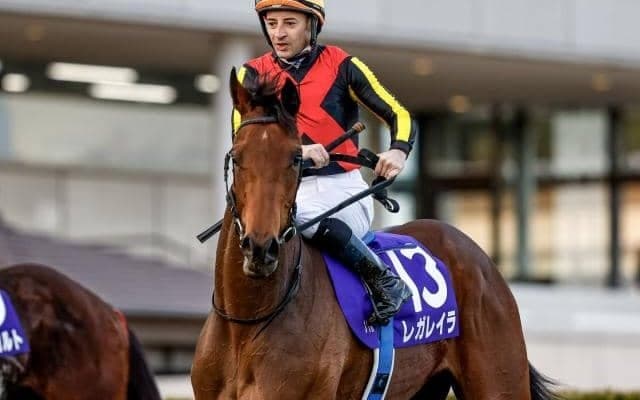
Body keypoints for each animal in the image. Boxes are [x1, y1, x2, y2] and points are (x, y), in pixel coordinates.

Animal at [190, 69, 558, 399]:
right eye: (237, 157)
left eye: (296, 157)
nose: (261, 249)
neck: (246, 323)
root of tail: (480, 258)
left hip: (499, 382)